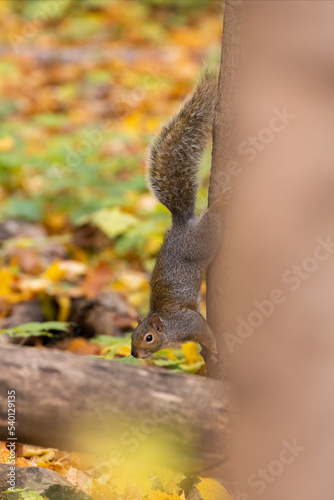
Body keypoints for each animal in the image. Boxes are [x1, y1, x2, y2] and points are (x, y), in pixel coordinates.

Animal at [131, 71, 224, 364]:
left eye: (149, 338)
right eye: (131, 336)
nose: (135, 354)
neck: (169, 330)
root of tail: (182, 223)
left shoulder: (189, 322)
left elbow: (205, 330)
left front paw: (213, 350)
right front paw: (204, 353)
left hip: (203, 241)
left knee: (213, 223)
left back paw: (221, 203)